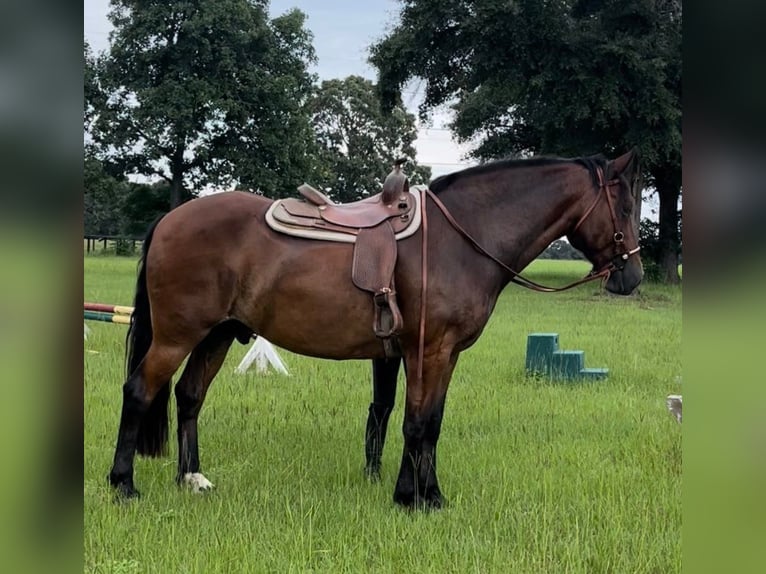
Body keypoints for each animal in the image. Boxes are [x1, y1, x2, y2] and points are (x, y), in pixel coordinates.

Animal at [108, 150, 644, 508]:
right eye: (627, 207)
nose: (633, 276)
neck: (460, 238)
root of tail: (170, 219)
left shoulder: (440, 355)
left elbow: (429, 423)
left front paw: (424, 493)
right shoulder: (427, 350)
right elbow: (416, 423)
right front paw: (414, 497)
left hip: (217, 334)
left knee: (189, 396)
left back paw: (191, 479)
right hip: (177, 335)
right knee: (138, 391)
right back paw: (123, 484)